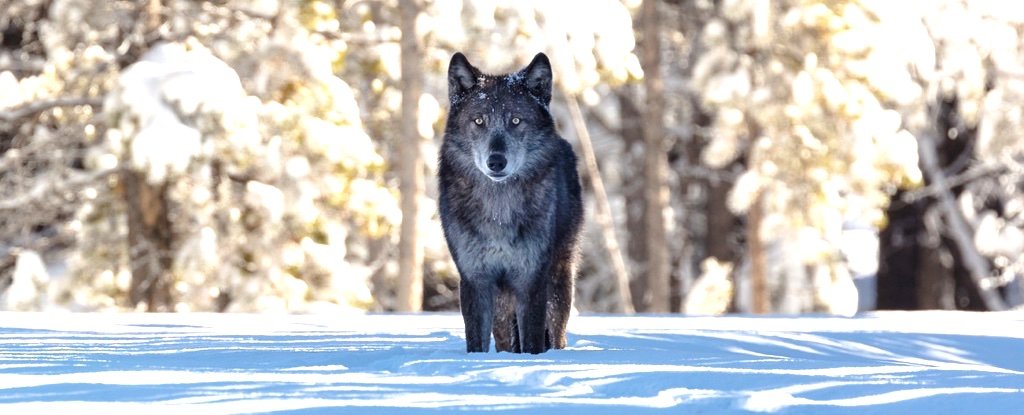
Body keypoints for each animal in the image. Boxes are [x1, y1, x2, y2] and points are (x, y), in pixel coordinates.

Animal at [438, 52, 585, 352]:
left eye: (516, 121)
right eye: (479, 121)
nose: (496, 161)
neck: (499, 209)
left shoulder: (531, 279)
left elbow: (532, 341)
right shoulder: (476, 279)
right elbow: (476, 342)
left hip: (558, 281)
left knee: (557, 334)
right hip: (503, 303)